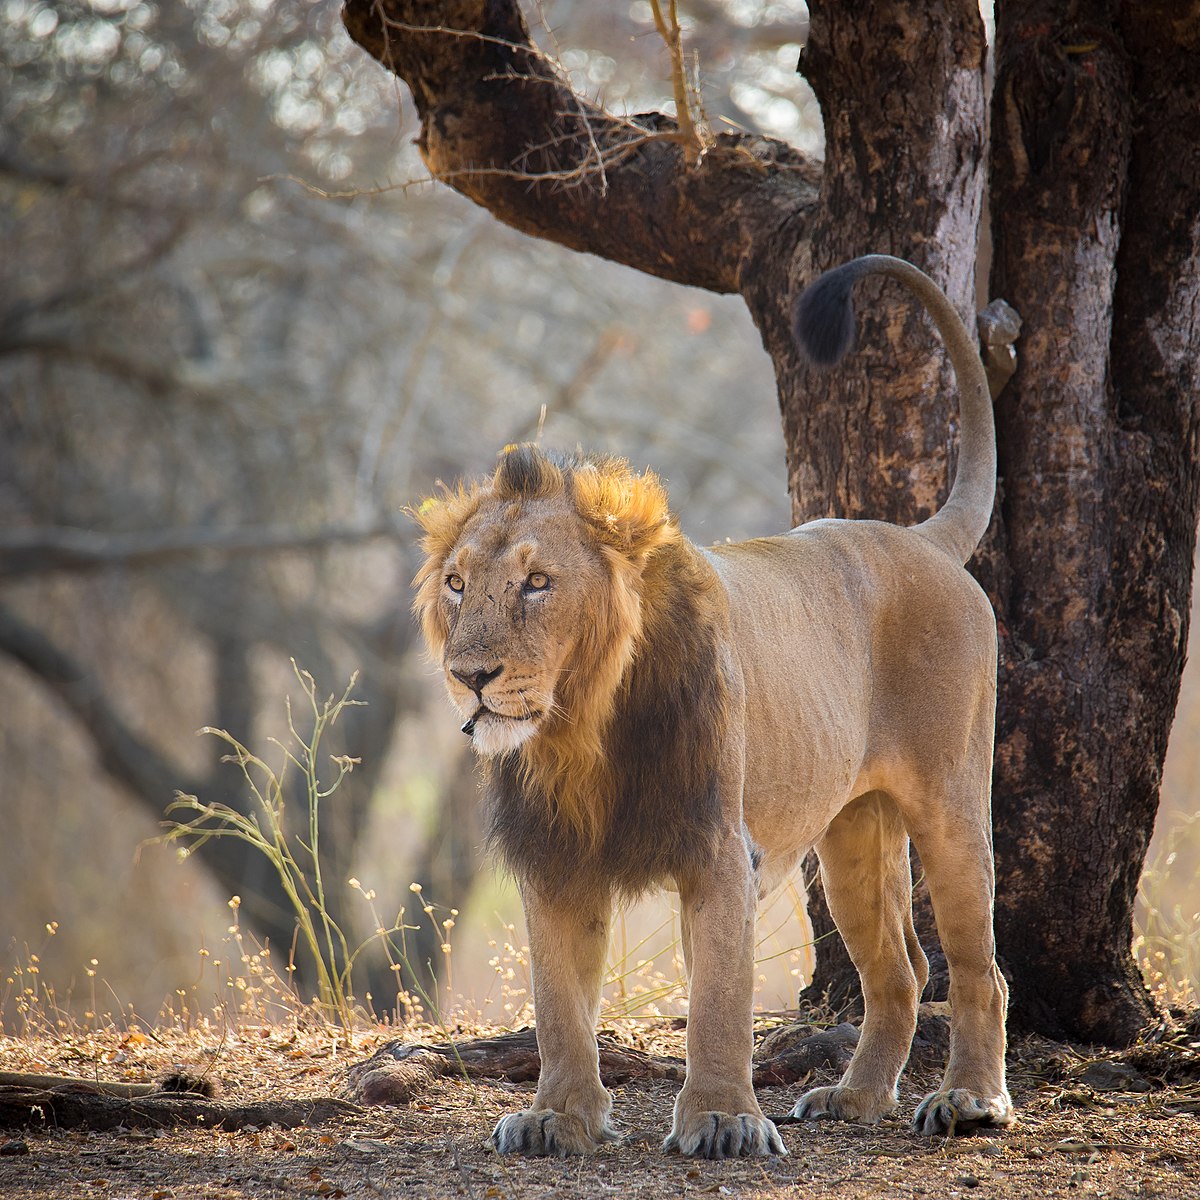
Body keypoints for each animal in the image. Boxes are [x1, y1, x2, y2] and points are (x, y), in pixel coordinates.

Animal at [410, 255, 1012, 1161]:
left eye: (537, 583)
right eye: (456, 583)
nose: (469, 675)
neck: (581, 726)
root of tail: (919, 537)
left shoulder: (722, 848)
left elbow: (720, 1000)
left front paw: (724, 1119)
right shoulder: (555, 856)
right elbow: (558, 1004)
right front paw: (558, 1115)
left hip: (949, 802)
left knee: (980, 967)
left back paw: (969, 1101)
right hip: (852, 835)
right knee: (900, 970)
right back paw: (855, 1097)